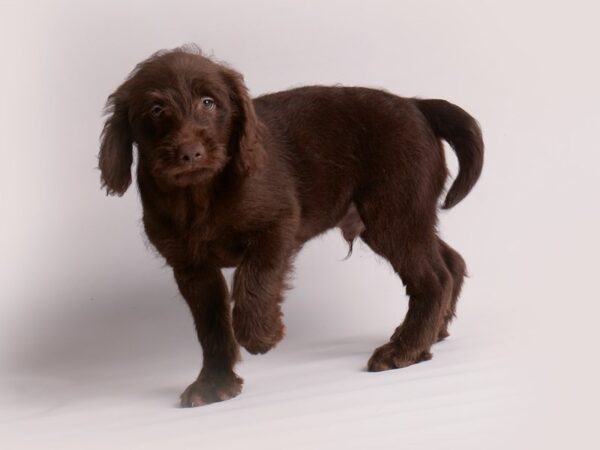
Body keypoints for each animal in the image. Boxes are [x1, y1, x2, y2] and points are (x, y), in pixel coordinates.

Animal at [97, 45, 482, 408]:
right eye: (156, 109)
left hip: (393, 213)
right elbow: (212, 328)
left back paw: (404, 349)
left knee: (434, 277)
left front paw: (260, 335)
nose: (190, 153)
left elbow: (255, 277)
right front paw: (214, 382)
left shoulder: (278, 224)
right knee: (451, 261)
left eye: (209, 102)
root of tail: (416, 105)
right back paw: (432, 334)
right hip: (396, 220)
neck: (200, 195)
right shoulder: (192, 268)